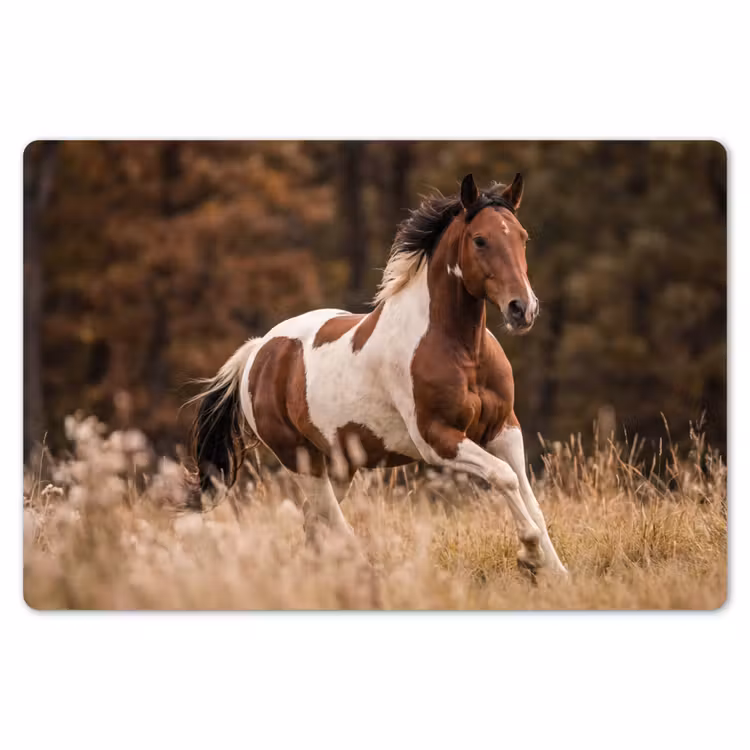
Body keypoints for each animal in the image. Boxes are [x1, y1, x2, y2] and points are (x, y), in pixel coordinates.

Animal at [186, 173, 567, 576]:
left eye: (522, 237)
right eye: (480, 240)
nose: (522, 309)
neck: (463, 351)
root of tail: (258, 350)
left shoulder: (503, 429)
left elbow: (529, 497)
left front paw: (557, 572)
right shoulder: (437, 439)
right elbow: (503, 477)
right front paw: (530, 555)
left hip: (340, 463)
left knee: (314, 520)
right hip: (300, 458)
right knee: (329, 520)